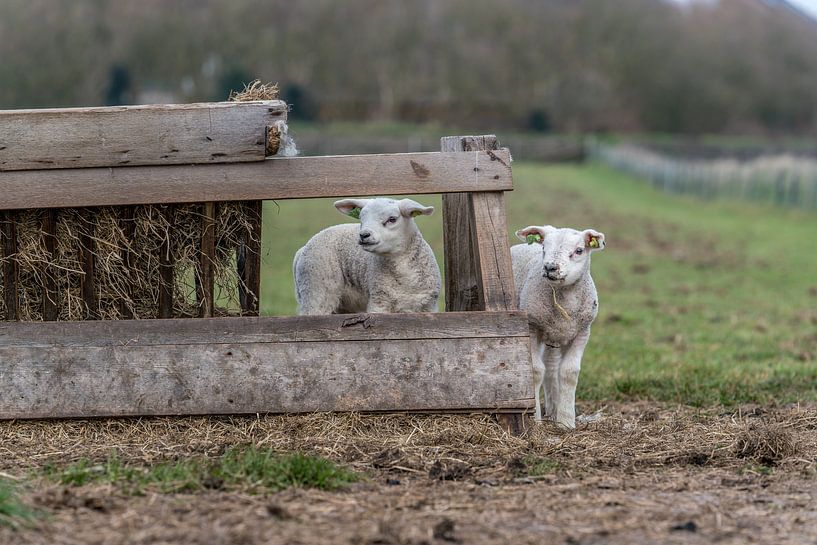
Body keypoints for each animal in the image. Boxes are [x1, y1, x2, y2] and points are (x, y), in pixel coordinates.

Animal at [292, 198, 440, 314]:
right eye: (361, 219)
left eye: (392, 219)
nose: (364, 235)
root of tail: (302, 249)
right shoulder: (379, 302)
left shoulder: (429, 306)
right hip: (316, 291)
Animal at [512, 223, 604, 428]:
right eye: (544, 248)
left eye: (579, 250)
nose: (550, 267)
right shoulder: (532, 327)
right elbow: (535, 370)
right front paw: (535, 420)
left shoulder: (582, 332)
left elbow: (569, 372)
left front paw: (566, 421)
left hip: (555, 335)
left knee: (552, 367)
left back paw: (554, 409)